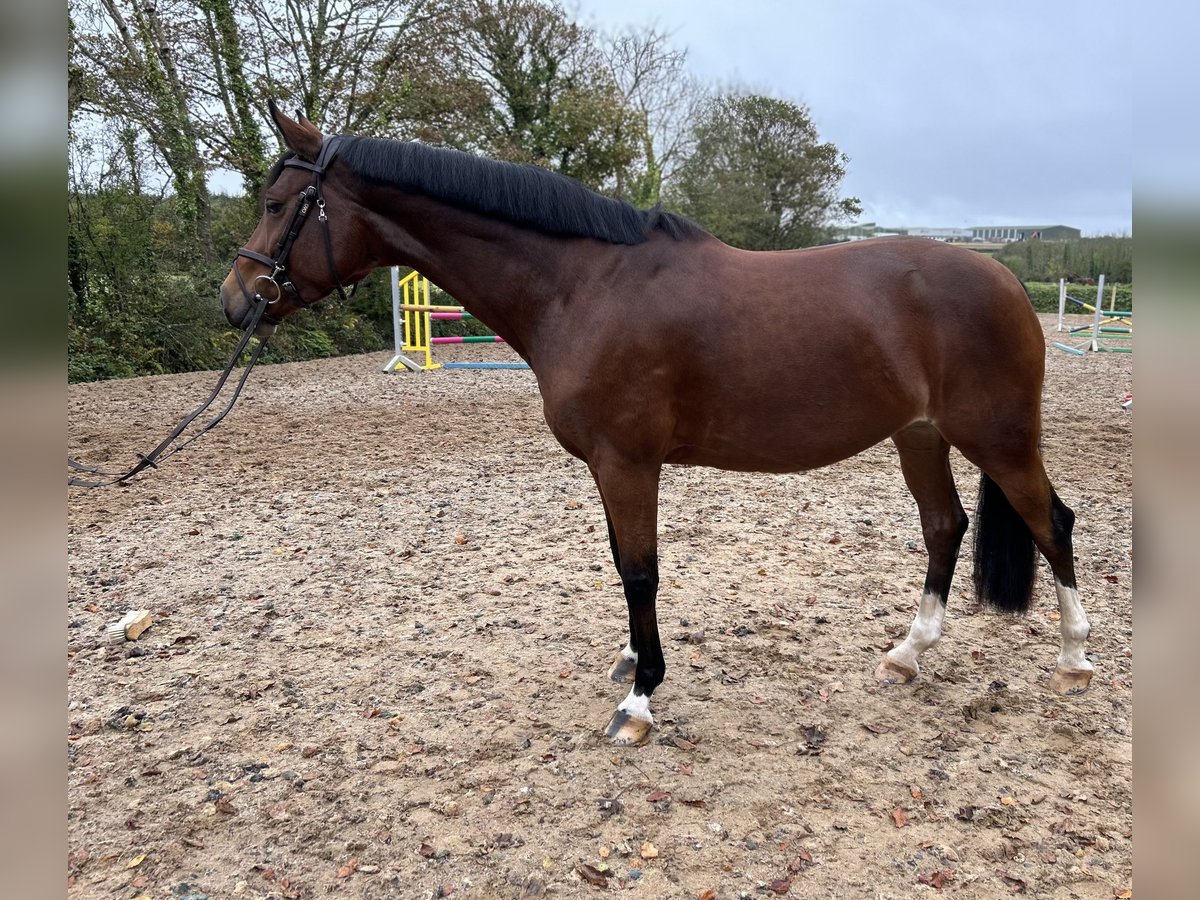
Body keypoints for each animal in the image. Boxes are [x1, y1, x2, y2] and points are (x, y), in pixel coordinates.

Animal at [220, 103, 1094, 748]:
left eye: (276, 206)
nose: (234, 301)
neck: (583, 286)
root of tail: (1004, 275)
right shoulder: (608, 469)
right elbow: (619, 563)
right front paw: (632, 659)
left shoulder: (627, 462)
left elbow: (641, 571)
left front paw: (640, 702)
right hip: (920, 434)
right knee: (945, 525)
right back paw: (908, 655)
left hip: (999, 437)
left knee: (1051, 521)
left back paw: (1075, 662)